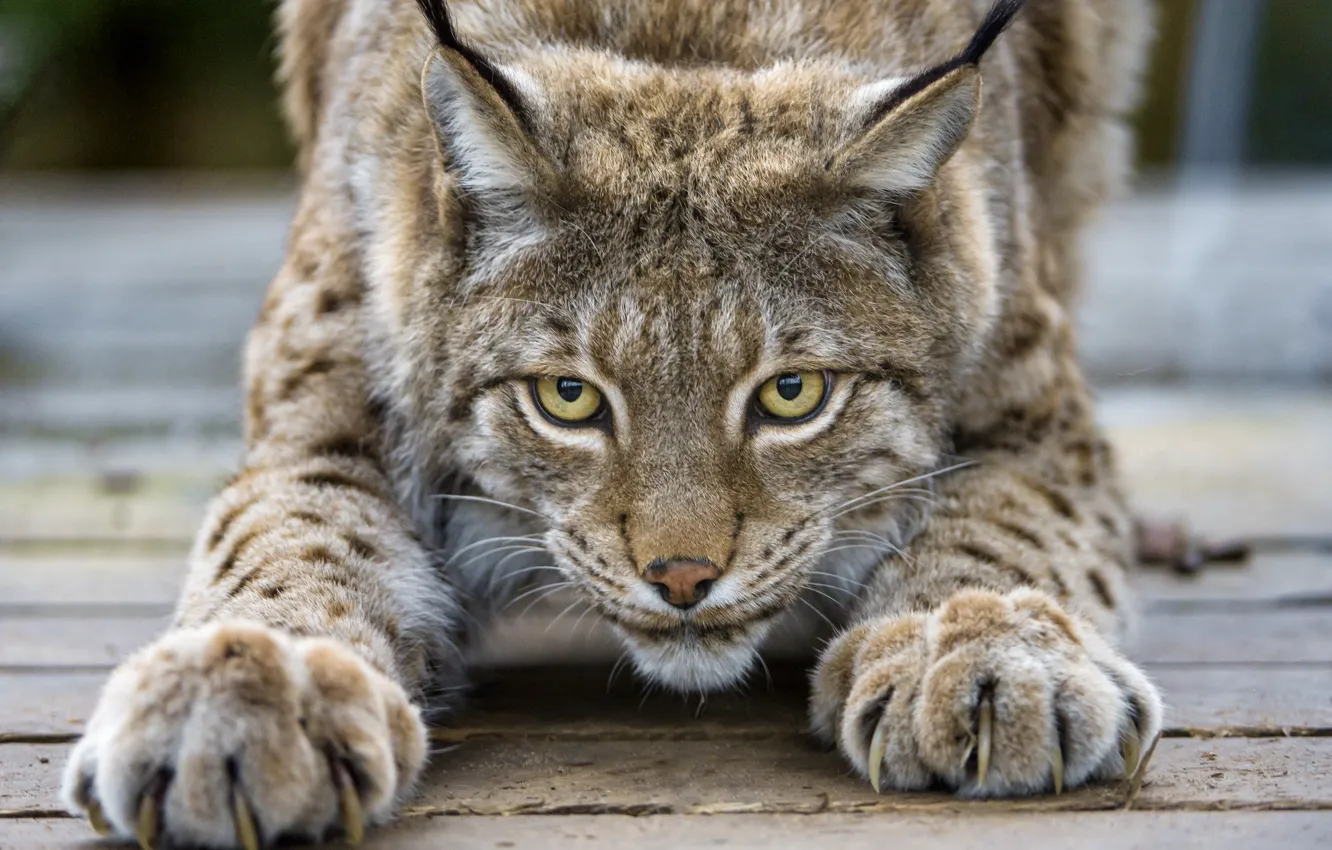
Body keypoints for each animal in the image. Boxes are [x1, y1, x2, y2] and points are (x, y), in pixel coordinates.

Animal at [63, 0, 1161, 845]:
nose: (681, 579)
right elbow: (287, 531)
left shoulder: (1039, 415)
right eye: (569, 399)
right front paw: (240, 688)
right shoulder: (323, 408)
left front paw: (984, 649)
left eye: (792, 396)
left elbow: (1003, 528)